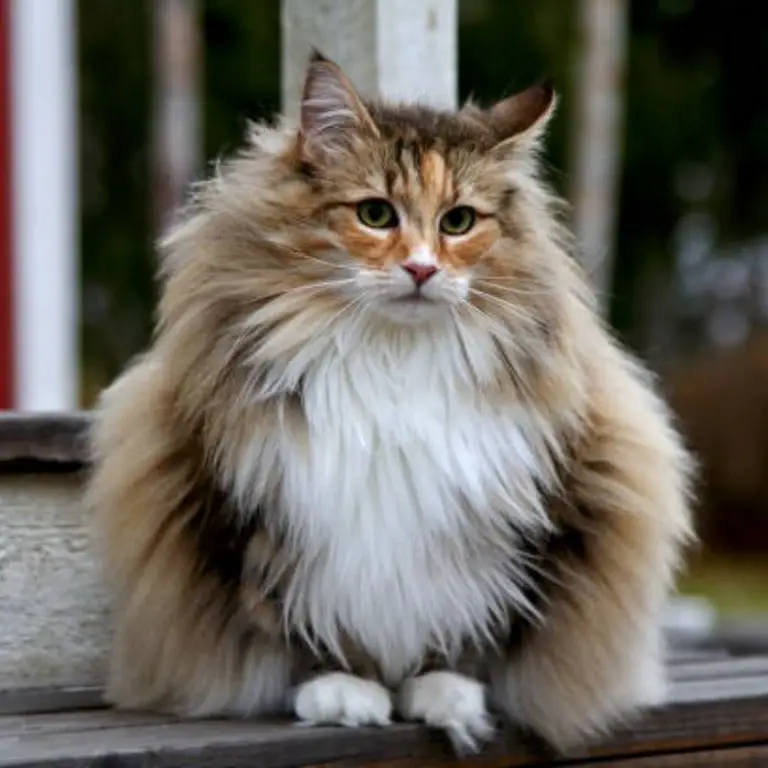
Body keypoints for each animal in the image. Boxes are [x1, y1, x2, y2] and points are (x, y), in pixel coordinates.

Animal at [85, 54, 696, 756]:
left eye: (457, 222)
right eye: (376, 214)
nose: (422, 270)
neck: (393, 360)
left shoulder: (514, 520)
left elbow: (470, 626)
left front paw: (444, 693)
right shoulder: (261, 515)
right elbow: (300, 621)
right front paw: (344, 692)